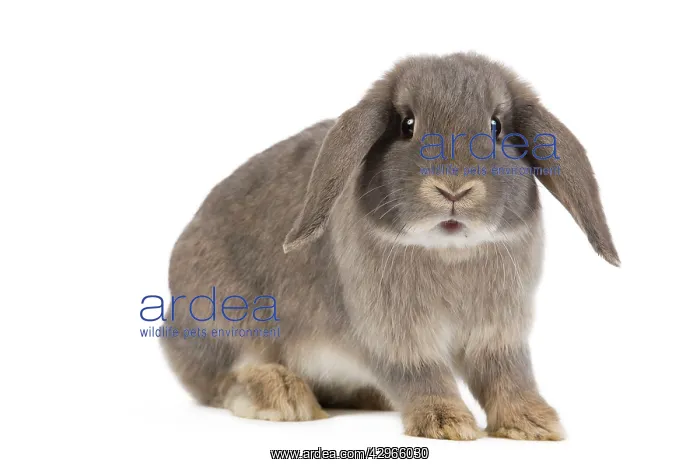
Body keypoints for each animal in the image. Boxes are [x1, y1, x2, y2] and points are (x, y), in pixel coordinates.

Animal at [161, 52, 619, 441]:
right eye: (407, 125)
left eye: (496, 127)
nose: (453, 188)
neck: (448, 253)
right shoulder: (393, 333)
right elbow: (421, 373)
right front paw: (446, 423)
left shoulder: (499, 335)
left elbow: (508, 375)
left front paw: (533, 423)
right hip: (227, 319)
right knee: (222, 379)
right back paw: (281, 395)